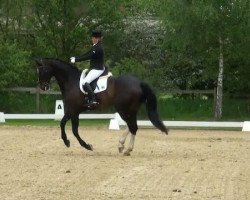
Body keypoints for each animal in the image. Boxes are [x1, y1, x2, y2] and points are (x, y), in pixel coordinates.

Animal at [35, 57, 168, 155]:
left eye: (43, 70)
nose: (43, 87)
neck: (71, 81)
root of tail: (139, 82)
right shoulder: (72, 111)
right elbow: (65, 125)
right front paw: (70, 142)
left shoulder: (73, 110)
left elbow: (71, 129)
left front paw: (84, 145)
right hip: (130, 109)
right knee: (132, 126)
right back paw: (122, 146)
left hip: (123, 109)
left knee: (133, 127)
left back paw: (126, 149)